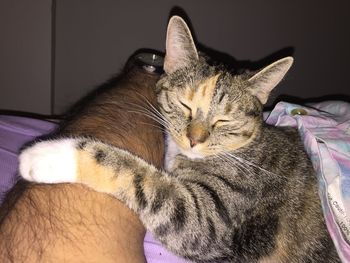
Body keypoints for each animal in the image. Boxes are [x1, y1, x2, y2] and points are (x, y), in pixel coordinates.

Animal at [19, 17, 340, 263]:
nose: (194, 139)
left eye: (224, 120)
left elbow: (145, 181)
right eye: (184, 105)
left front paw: (50, 155)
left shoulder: (208, 222)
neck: (246, 147)